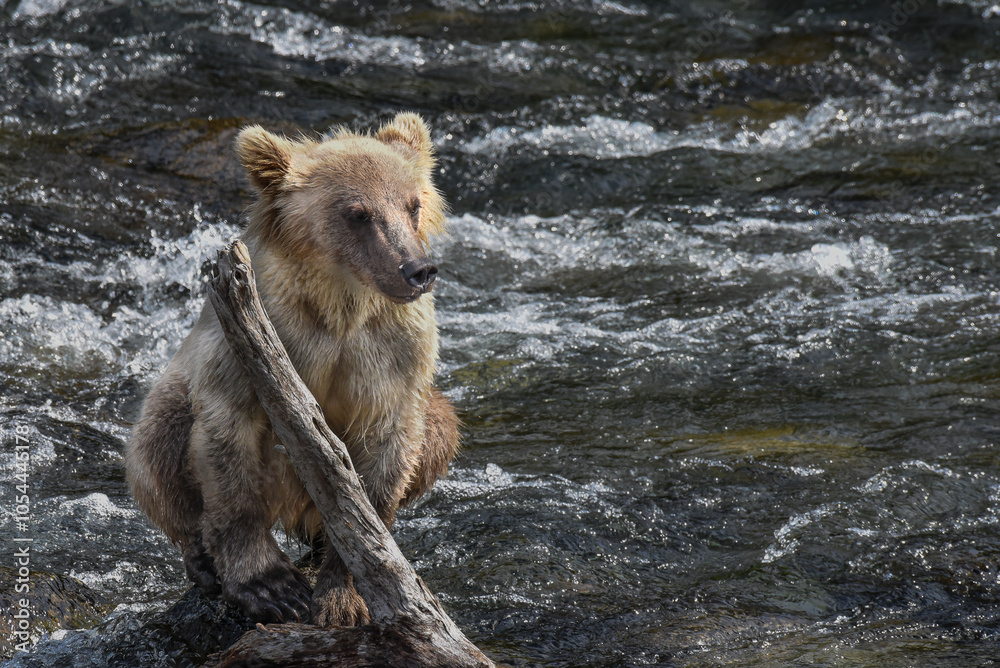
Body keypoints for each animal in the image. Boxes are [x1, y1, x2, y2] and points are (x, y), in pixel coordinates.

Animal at [125, 113, 459, 626]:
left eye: (413, 204)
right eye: (358, 213)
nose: (416, 269)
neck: (340, 307)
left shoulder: (393, 356)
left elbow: (384, 463)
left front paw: (345, 594)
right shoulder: (255, 342)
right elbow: (228, 448)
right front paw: (270, 586)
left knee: (440, 427)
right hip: (175, 398)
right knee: (157, 446)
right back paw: (202, 559)